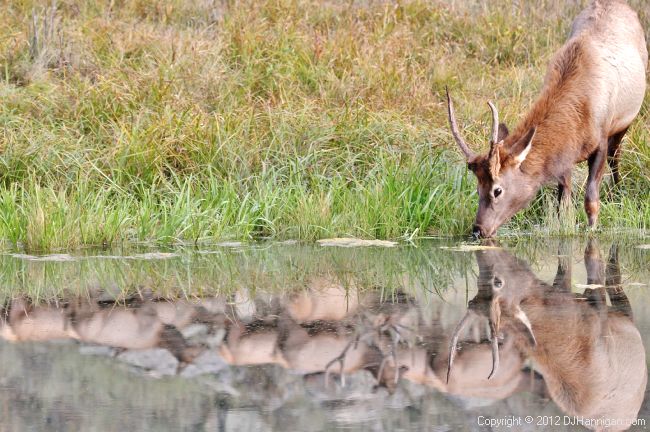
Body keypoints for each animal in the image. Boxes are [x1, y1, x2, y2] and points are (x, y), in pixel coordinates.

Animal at [446, 0, 648, 238]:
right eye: (477, 188)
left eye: (497, 190)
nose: (478, 230)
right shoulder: (565, 156)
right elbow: (564, 202)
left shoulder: (601, 139)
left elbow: (590, 199)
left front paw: (591, 228)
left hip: (625, 121)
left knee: (616, 156)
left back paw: (617, 192)